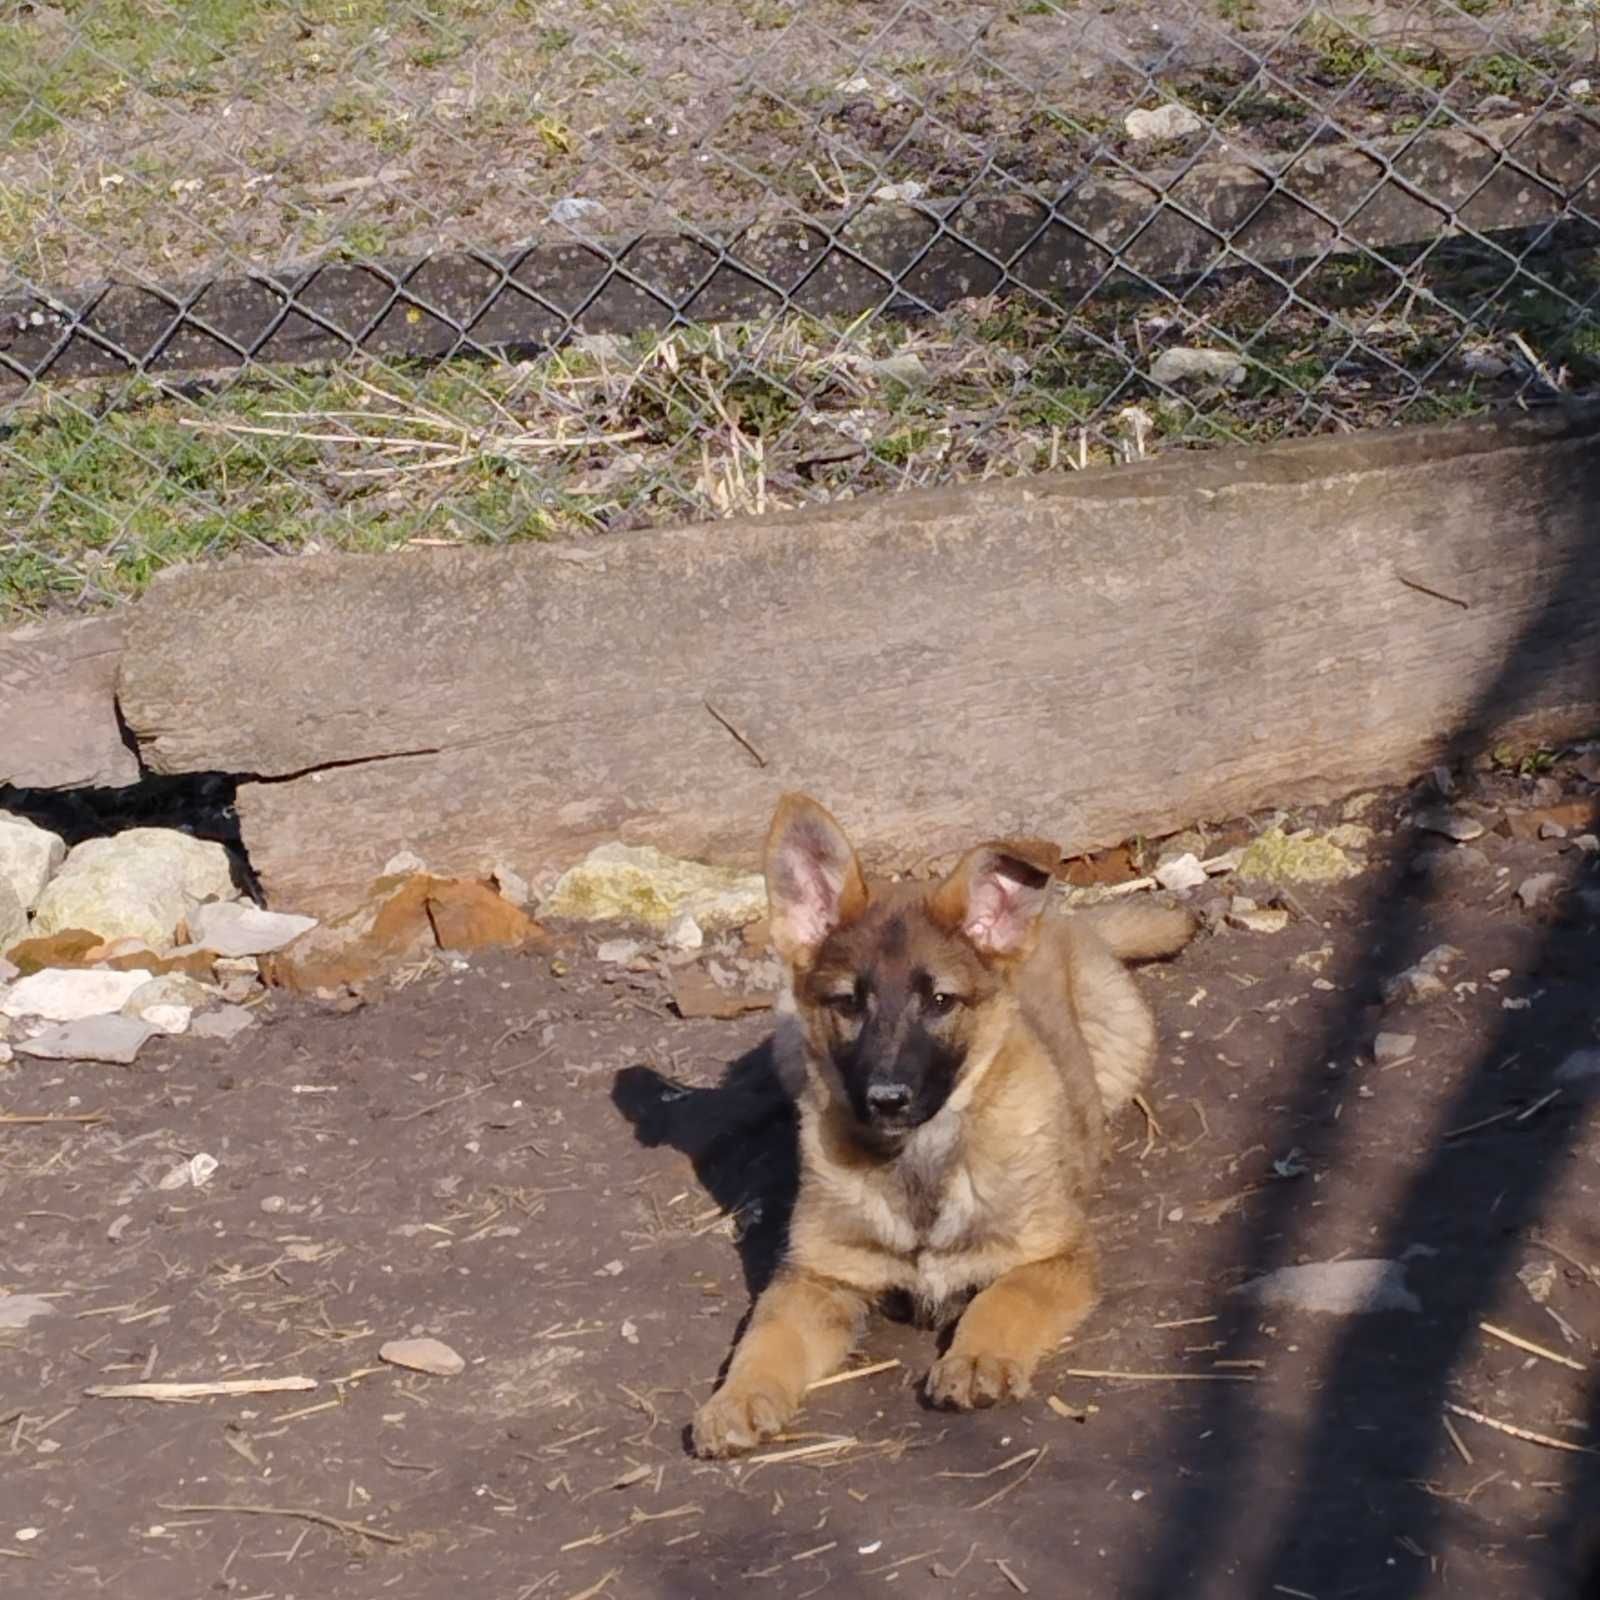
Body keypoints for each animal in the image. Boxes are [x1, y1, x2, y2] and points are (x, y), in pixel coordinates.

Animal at [694, 793, 1196, 1459]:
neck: (921, 1160)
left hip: (1121, 1037)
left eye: (939, 1002)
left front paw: (977, 1359)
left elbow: (1005, 1297)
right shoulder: (818, 1276)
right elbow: (767, 1334)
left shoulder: (1057, 1255)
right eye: (848, 1003)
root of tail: (1066, 923)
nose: (886, 1099)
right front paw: (737, 1398)